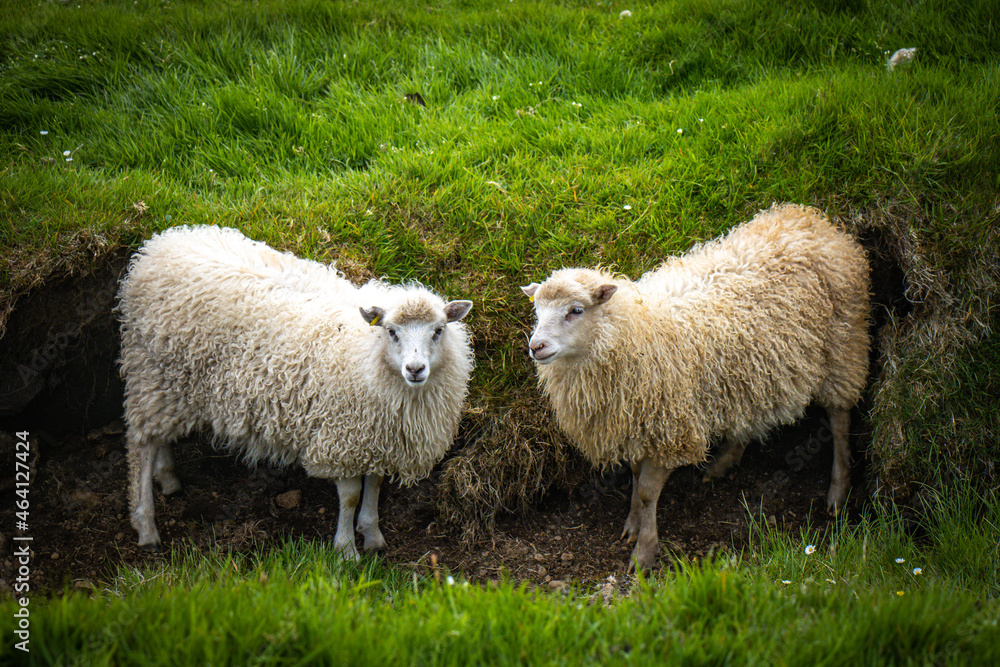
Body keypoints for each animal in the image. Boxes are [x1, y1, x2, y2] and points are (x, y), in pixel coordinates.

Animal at [117, 225, 474, 559]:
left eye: (438, 330)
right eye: (391, 331)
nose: (415, 369)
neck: (366, 352)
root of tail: (159, 246)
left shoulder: (377, 440)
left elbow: (374, 485)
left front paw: (372, 535)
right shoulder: (341, 438)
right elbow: (350, 496)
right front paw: (346, 549)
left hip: (168, 388)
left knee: (158, 437)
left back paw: (168, 478)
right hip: (151, 373)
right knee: (140, 444)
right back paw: (146, 525)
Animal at [521, 204, 869, 569]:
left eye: (575, 310)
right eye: (537, 311)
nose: (536, 346)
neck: (634, 330)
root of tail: (813, 222)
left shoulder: (670, 428)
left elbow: (646, 492)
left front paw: (644, 552)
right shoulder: (638, 428)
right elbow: (635, 477)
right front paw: (632, 524)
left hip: (844, 347)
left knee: (839, 419)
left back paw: (838, 491)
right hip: (749, 373)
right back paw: (723, 462)